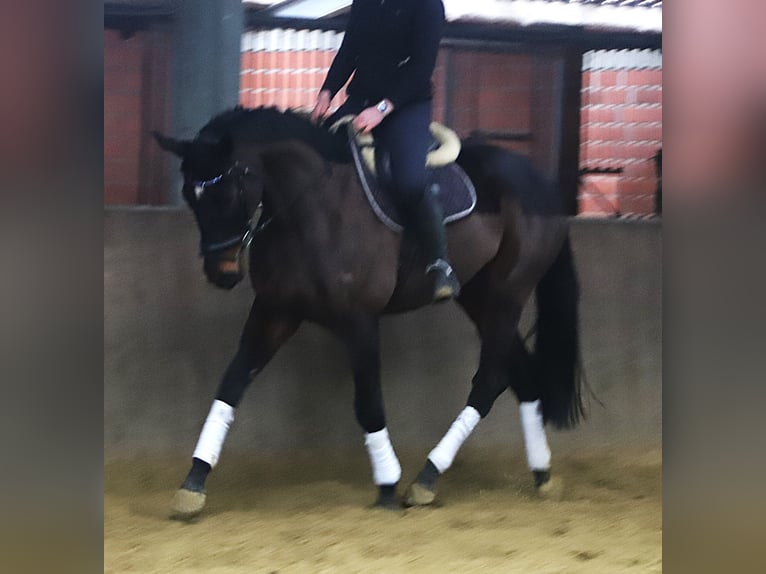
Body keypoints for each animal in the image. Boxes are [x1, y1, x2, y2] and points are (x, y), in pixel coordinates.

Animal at [153, 106, 584, 518]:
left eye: (225, 192)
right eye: (190, 195)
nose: (221, 273)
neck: (310, 209)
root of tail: (542, 184)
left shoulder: (359, 319)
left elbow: (368, 402)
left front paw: (387, 484)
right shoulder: (276, 311)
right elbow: (231, 385)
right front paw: (193, 483)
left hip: (507, 294)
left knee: (490, 381)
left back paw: (427, 478)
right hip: (480, 297)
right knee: (523, 377)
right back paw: (542, 475)